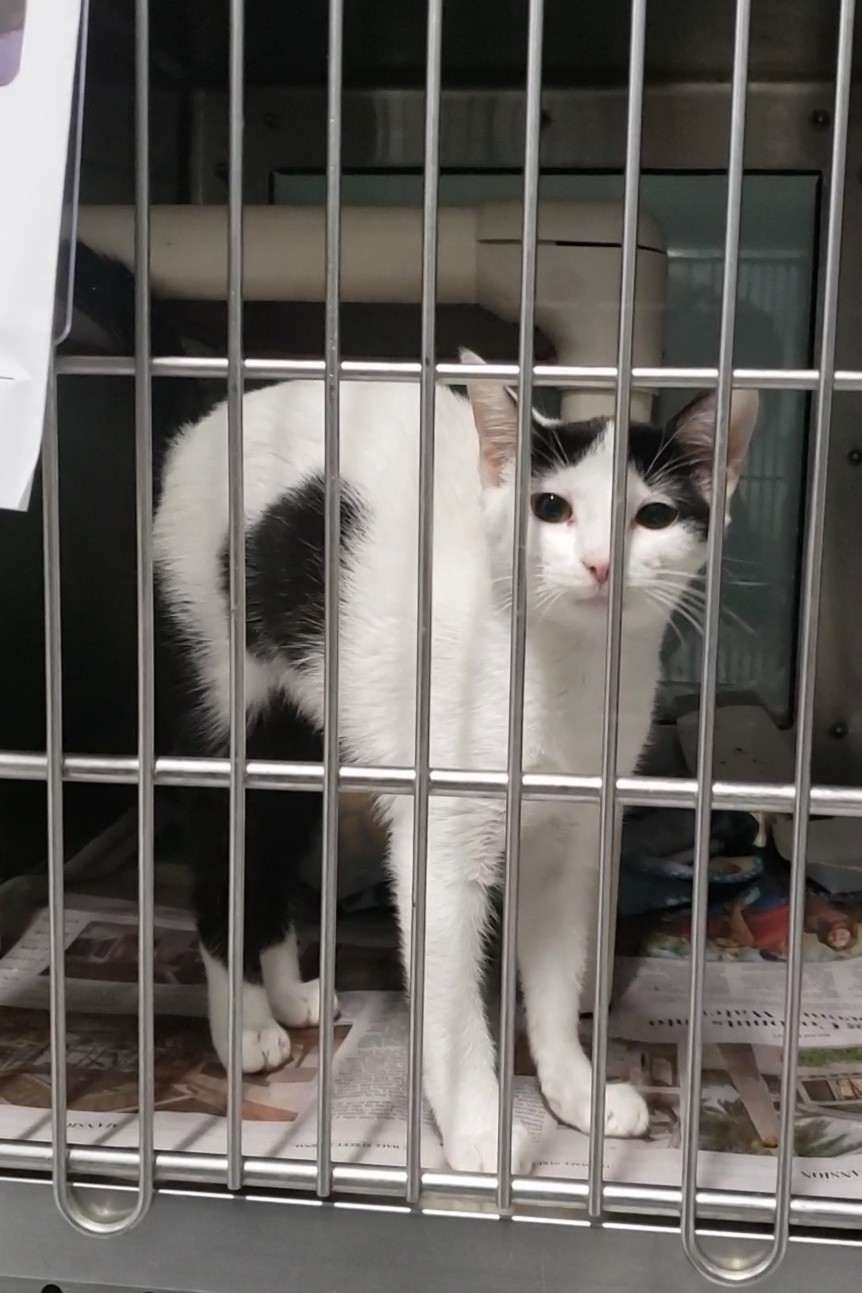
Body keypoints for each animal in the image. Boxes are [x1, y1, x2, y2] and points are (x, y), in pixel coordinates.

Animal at [153, 353, 757, 1172]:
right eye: (550, 507)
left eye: (654, 516)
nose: (600, 564)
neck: (560, 671)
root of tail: (210, 420)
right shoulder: (441, 841)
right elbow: (449, 999)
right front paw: (477, 1127)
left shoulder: (571, 838)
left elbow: (557, 972)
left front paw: (575, 1089)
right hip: (220, 686)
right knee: (227, 860)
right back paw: (241, 1024)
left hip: (302, 734)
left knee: (272, 846)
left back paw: (288, 992)